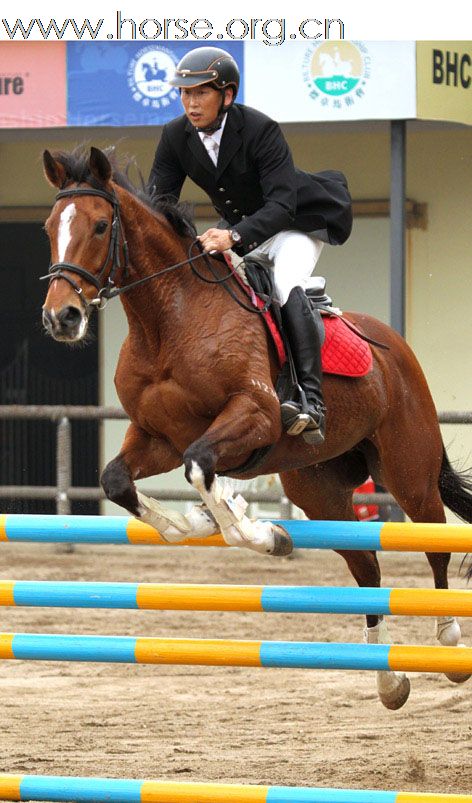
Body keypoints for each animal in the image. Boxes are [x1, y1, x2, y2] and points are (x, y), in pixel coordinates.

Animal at [39, 144, 472, 708]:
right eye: (50, 227)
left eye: (98, 225)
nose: (62, 318)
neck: (169, 319)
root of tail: (394, 344)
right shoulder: (158, 437)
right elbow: (120, 480)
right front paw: (201, 522)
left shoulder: (256, 417)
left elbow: (199, 468)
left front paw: (258, 531)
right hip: (319, 488)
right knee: (367, 566)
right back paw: (389, 679)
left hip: (409, 471)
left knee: (434, 541)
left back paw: (447, 643)